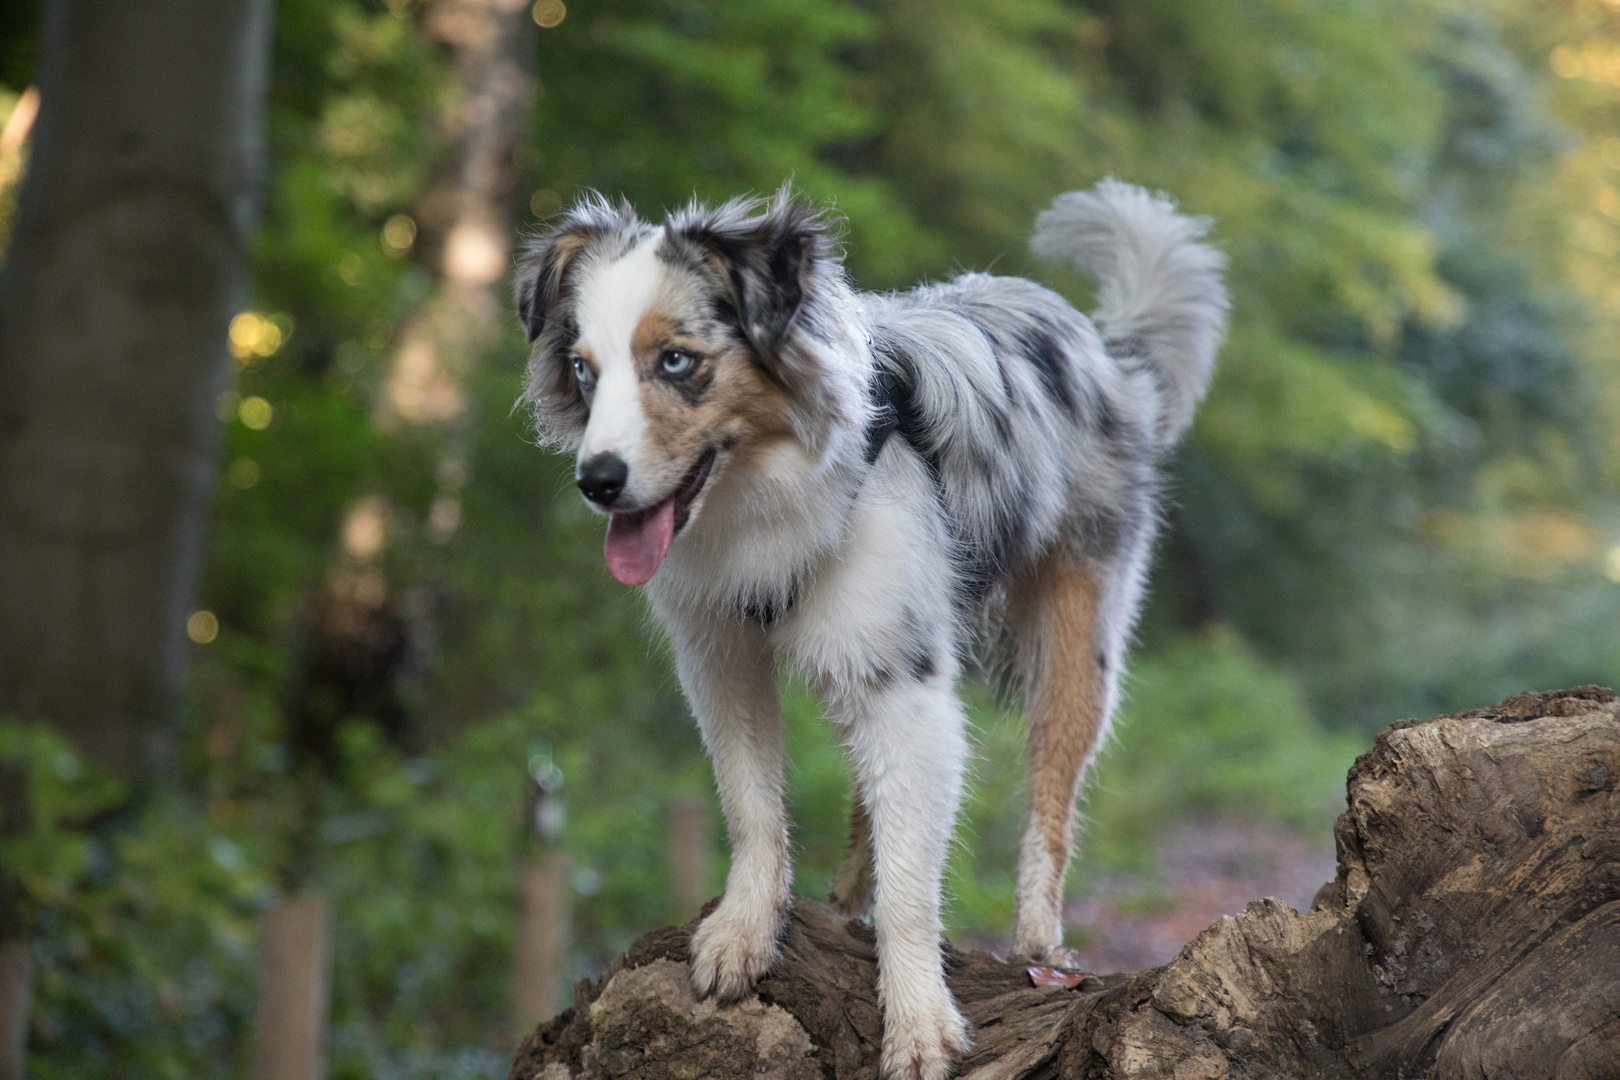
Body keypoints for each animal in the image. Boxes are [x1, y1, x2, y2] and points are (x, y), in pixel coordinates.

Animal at [511, 181, 1218, 1075]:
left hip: (1078, 638)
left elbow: (915, 878)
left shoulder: (905, 687)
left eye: (675, 361)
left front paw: (918, 1023)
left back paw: (1038, 942)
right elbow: (752, 806)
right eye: (583, 369)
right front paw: (744, 934)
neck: (764, 492)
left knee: (1049, 800)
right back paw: (850, 891)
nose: (597, 482)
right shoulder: (722, 656)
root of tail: (1104, 345)